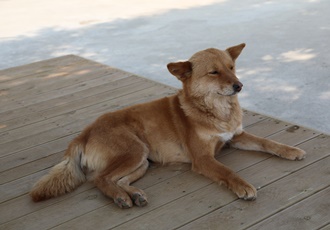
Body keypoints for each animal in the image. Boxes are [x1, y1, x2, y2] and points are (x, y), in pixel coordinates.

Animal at [29, 43, 306, 208]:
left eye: (231, 67)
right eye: (214, 72)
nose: (239, 86)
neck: (216, 110)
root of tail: (84, 133)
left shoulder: (235, 137)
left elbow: (267, 142)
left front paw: (290, 150)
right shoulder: (203, 159)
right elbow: (227, 171)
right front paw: (243, 186)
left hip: (142, 161)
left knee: (117, 179)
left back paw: (133, 194)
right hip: (134, 150)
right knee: (98, 178)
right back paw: (120, 197)